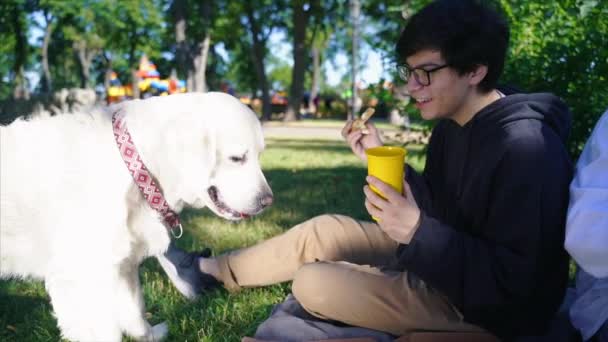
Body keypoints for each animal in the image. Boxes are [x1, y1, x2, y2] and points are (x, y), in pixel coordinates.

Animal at [0, 92, 270, 340]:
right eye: (237, 158)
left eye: (259, 156)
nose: (268, 201)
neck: (135, 166)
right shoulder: (82, 275)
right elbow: (106, 332)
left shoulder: (122, 264)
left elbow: (135, 309)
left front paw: (149, 335)